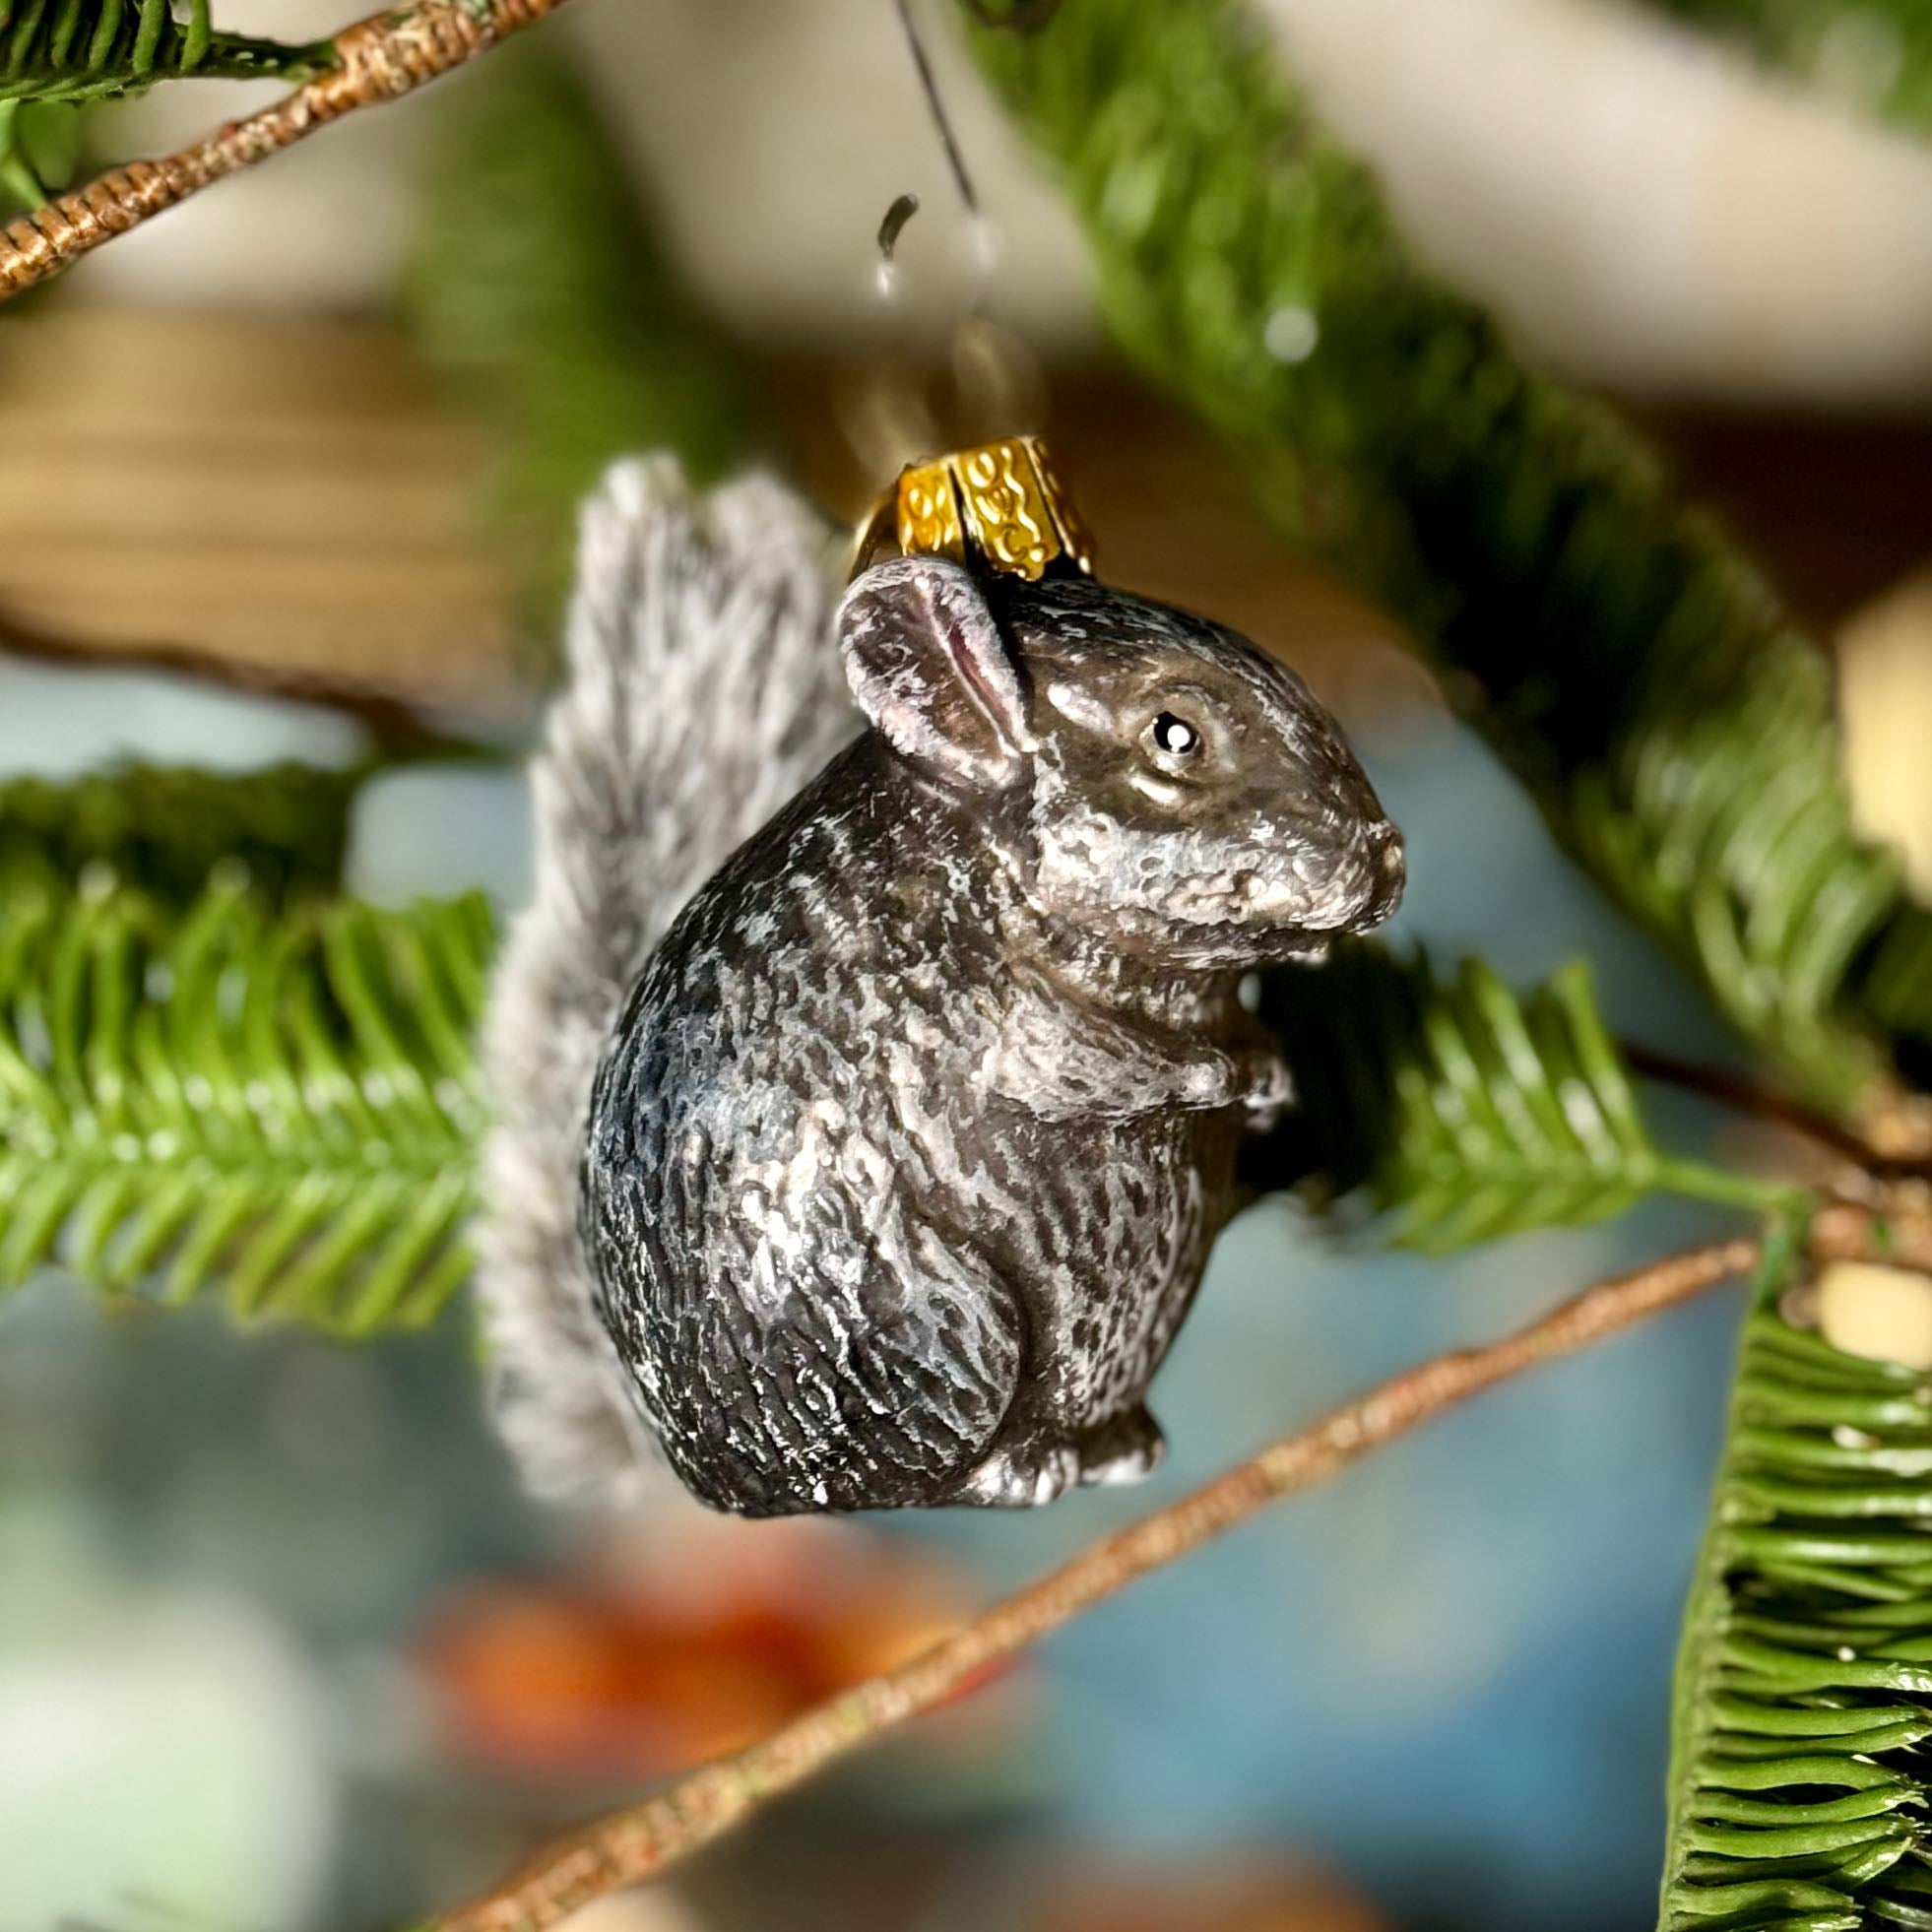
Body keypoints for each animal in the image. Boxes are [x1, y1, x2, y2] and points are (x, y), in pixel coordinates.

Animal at [477, 456, 1403, 1517]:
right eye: (1175, 735)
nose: (1388, 856)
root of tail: (708, 1483)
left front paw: (1271, 1074)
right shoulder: (992, 1025)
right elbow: (1098, 1065)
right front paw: (1230, 1079)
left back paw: (1122, 1449)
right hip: (946, 1337)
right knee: (928, 1475)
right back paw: (1029, 1467)